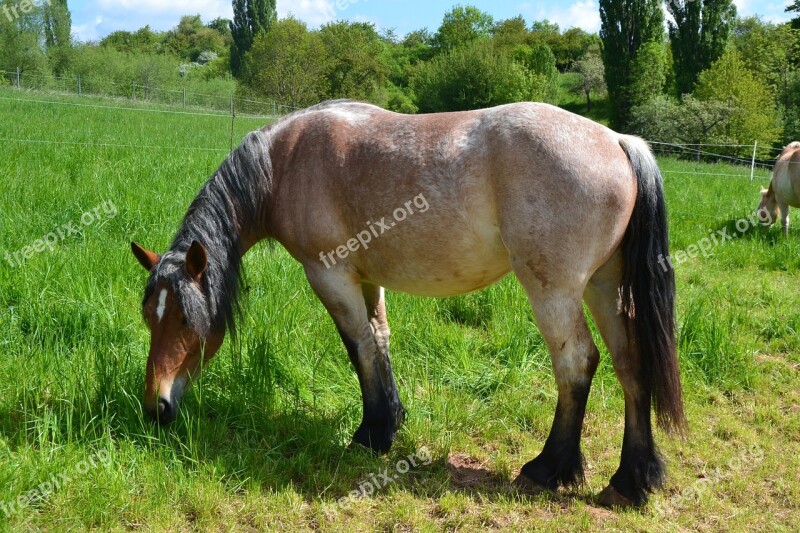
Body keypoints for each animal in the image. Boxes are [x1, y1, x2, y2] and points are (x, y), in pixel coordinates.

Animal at [130, 98, 680, 508]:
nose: (156, 407)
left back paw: (548, 469)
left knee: (577, 364)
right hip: (605, 287)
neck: (285, 160)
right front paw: (390, 422)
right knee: (631, 365)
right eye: (150, 318)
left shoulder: (330, 276)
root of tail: (617, 141)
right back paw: (631, 481)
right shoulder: (366, 279)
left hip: (555, 291)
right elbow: (380, 341)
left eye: (186, 319)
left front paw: (369, 434)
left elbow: (357, 346)